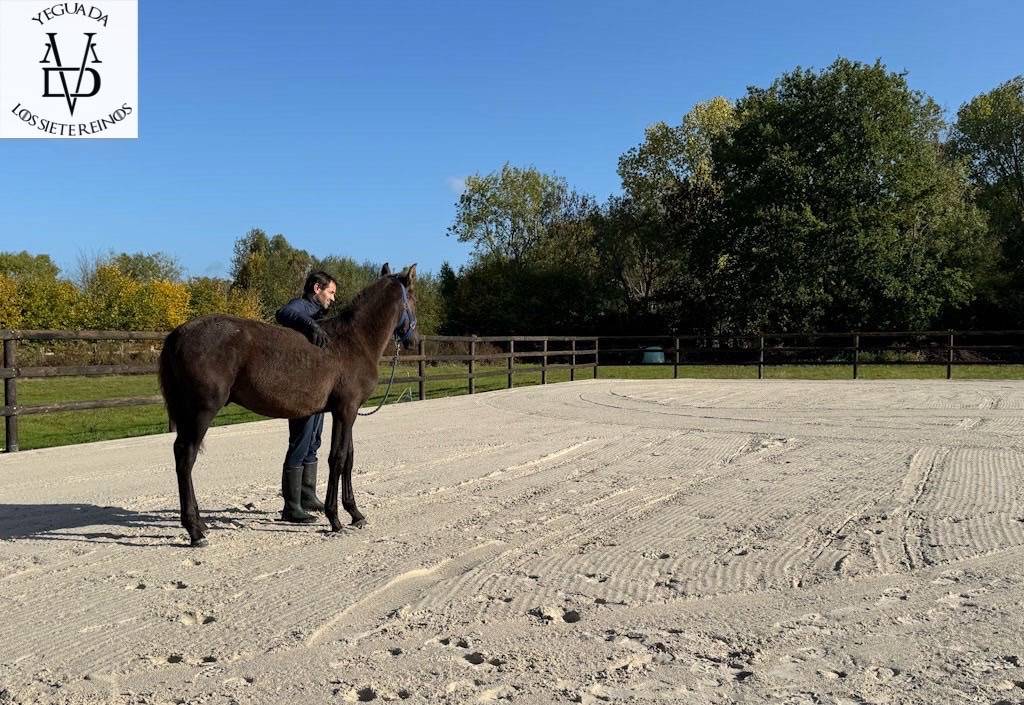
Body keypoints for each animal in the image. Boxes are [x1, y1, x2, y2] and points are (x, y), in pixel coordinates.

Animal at [158, 263, 419, 547]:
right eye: (413, 300)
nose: (413, 341)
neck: (354, 341)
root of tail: (178, 334)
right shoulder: (346, 410)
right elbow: (337, 459)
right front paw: (335, 519)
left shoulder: (346, 413)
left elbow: (348, 459)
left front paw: (356, 514)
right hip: (200, 412)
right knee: (185, 458)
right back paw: (195, 531)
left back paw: (201, 526)